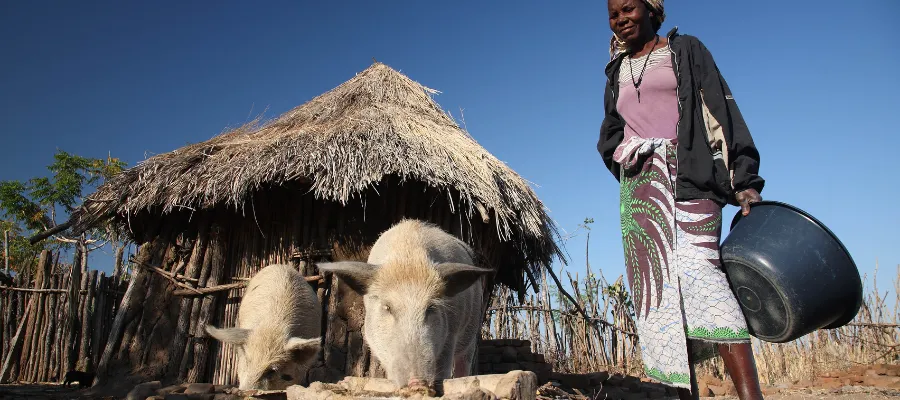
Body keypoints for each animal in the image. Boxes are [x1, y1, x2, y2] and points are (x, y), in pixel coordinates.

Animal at [317, 219, 492, 388]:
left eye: (431, 307)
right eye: (387, 307)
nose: (416, 382)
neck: (408, 259)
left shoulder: (451, 334)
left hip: (472, 332)